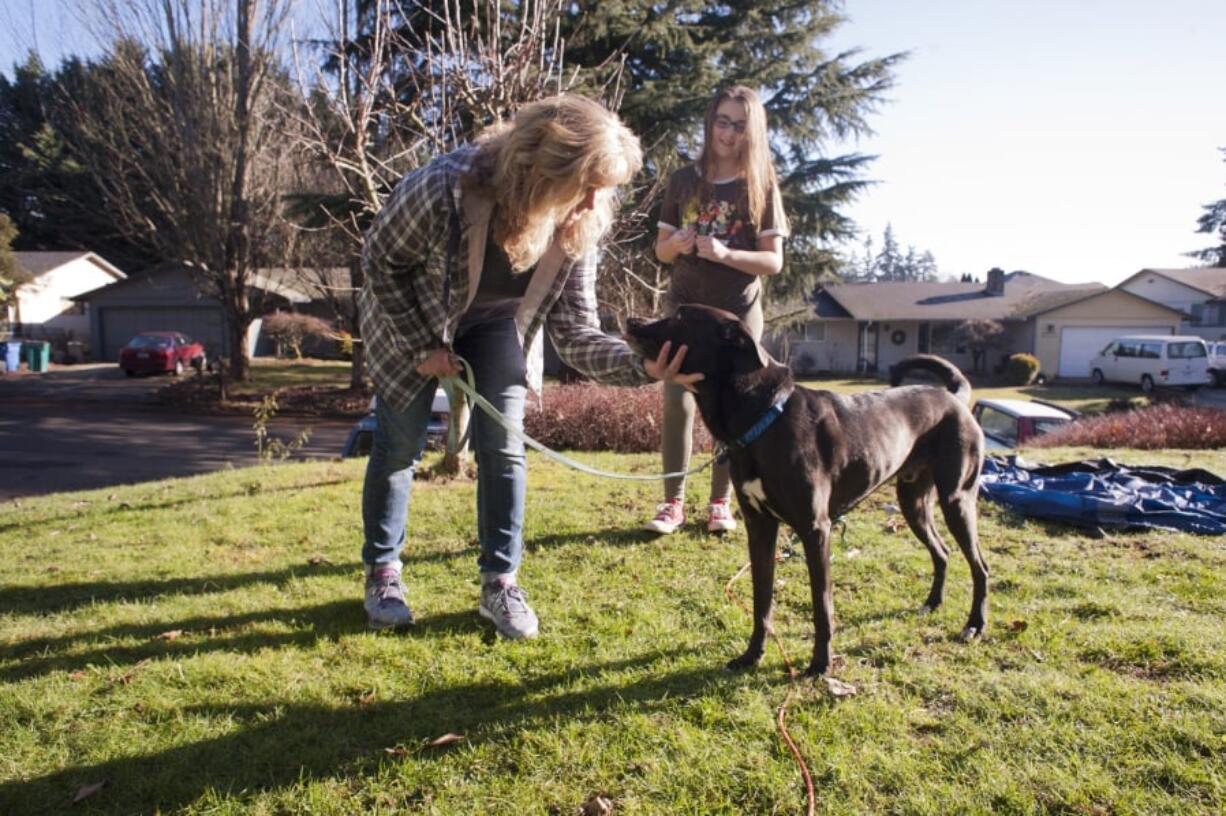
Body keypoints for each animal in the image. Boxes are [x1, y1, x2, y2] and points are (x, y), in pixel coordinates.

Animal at [627, 303, 990, 671]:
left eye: (681, 316)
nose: (631, 321)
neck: (763, 417)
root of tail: (955, 397)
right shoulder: (759, 528)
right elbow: (761, 601)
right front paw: (752, 655)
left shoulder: (816, 530)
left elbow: (821, 605)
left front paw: (820, 664)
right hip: (913, 502)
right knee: (942, 551)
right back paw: (933, 603)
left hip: (957, 500)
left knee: (980, 566)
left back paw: (974, 625)